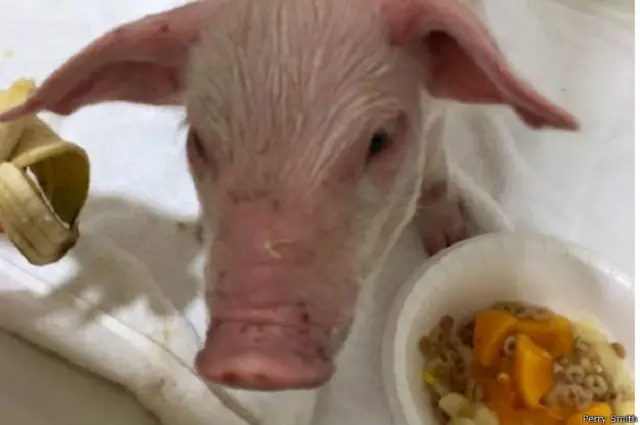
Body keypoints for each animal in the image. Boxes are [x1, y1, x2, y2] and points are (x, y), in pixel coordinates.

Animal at [0, 0, 578, 392]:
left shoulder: (436, 115)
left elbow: (435, 172)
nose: (253, 361)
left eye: (380, 139)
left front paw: (449, 241)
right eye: (198, 140)